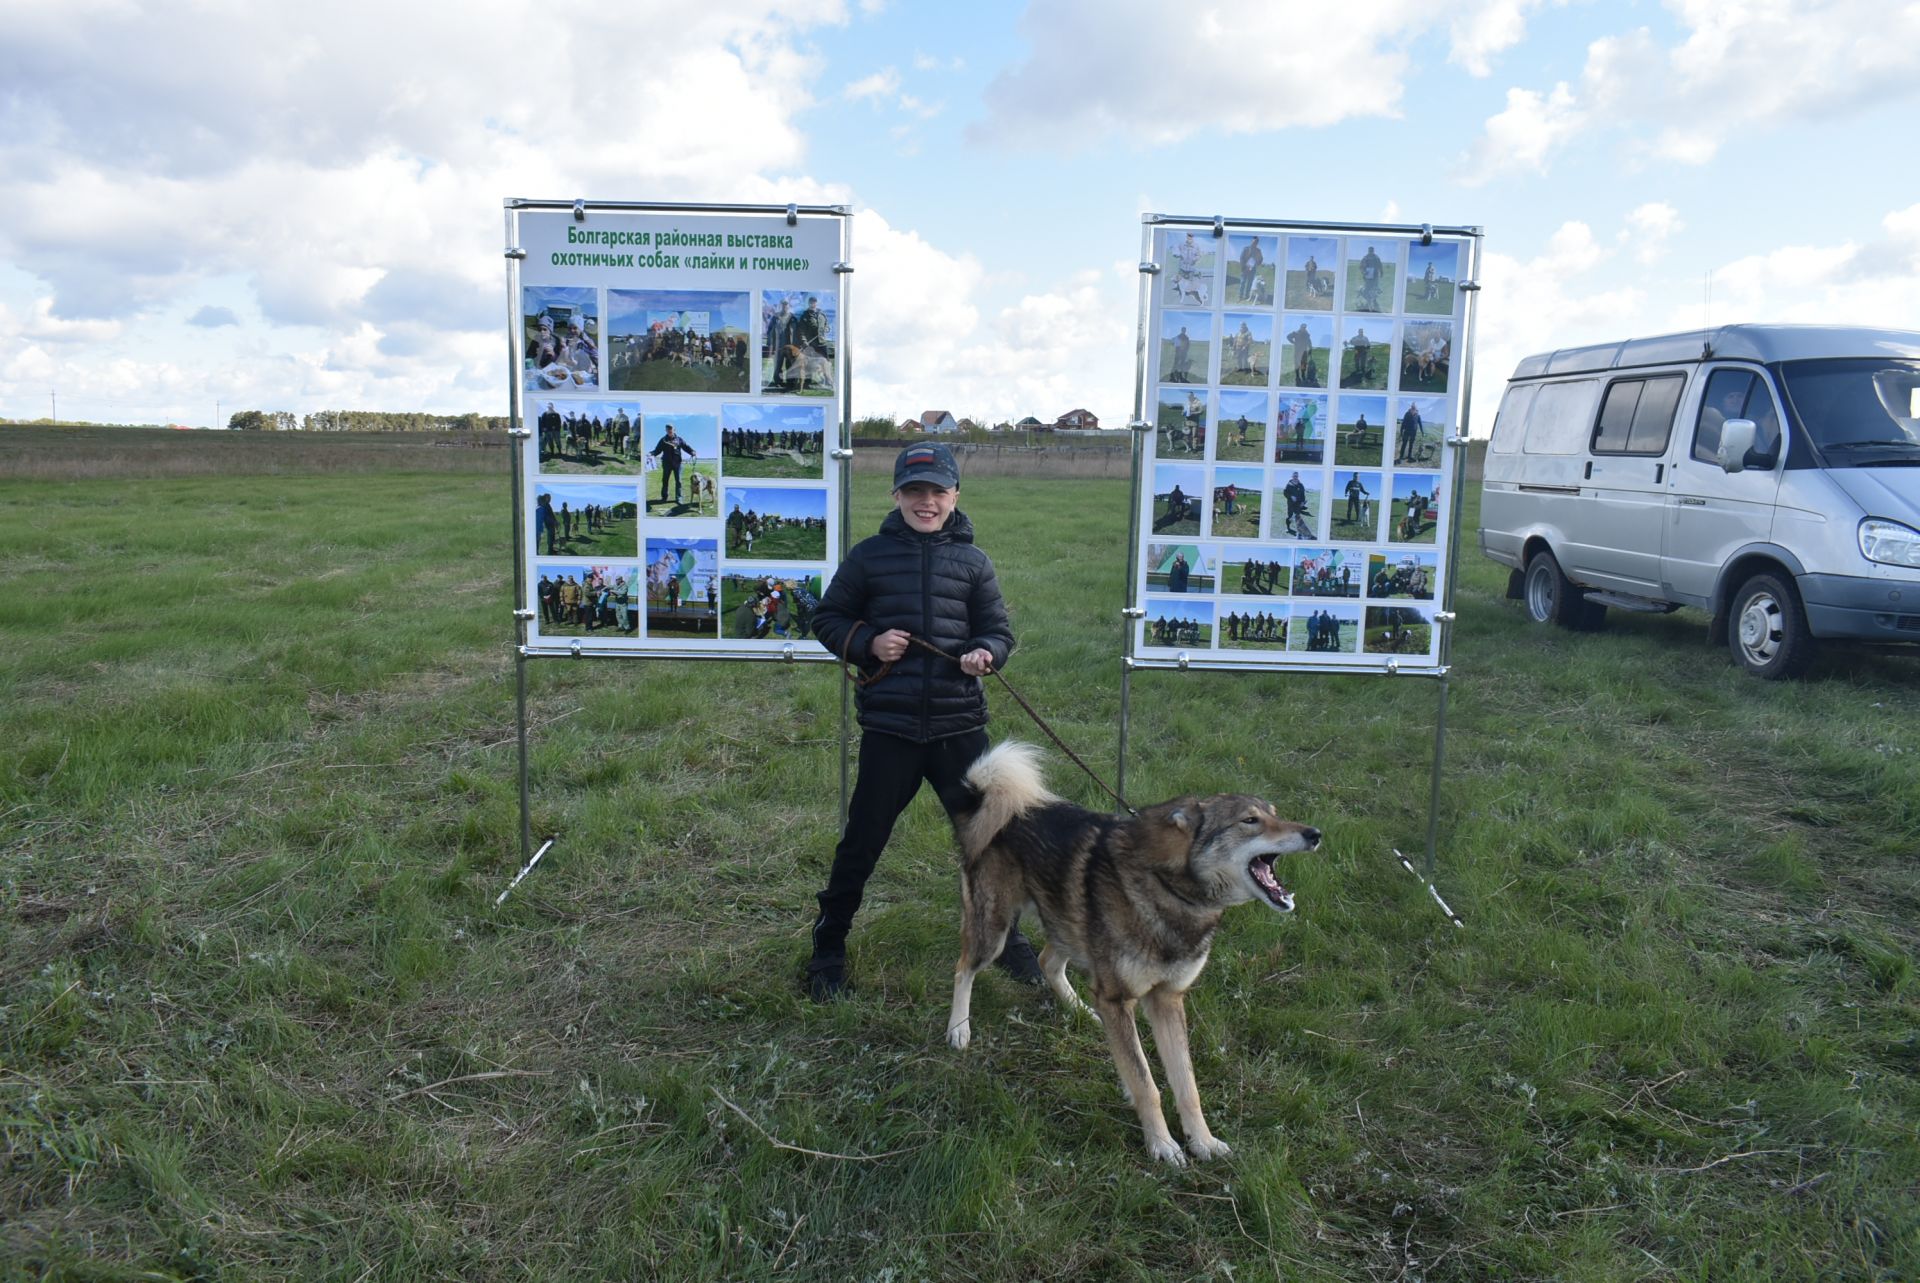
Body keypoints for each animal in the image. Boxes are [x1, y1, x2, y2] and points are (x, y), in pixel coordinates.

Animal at [944, 737, 1320, 1167]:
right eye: (1250, 821)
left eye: (1275, 814)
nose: (1315, 833)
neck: (1172, 889)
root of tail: (996, 804)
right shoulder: (1120, 997)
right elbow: (1146, 1082)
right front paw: (1162, 1144)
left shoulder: (1167, 998)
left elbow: (1186, 1084)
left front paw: (1203, 1141)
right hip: (994, 930)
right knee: (964, 967)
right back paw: (958, 1029)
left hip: (1070, 927)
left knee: (1048, 963)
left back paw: (1080, 1009)